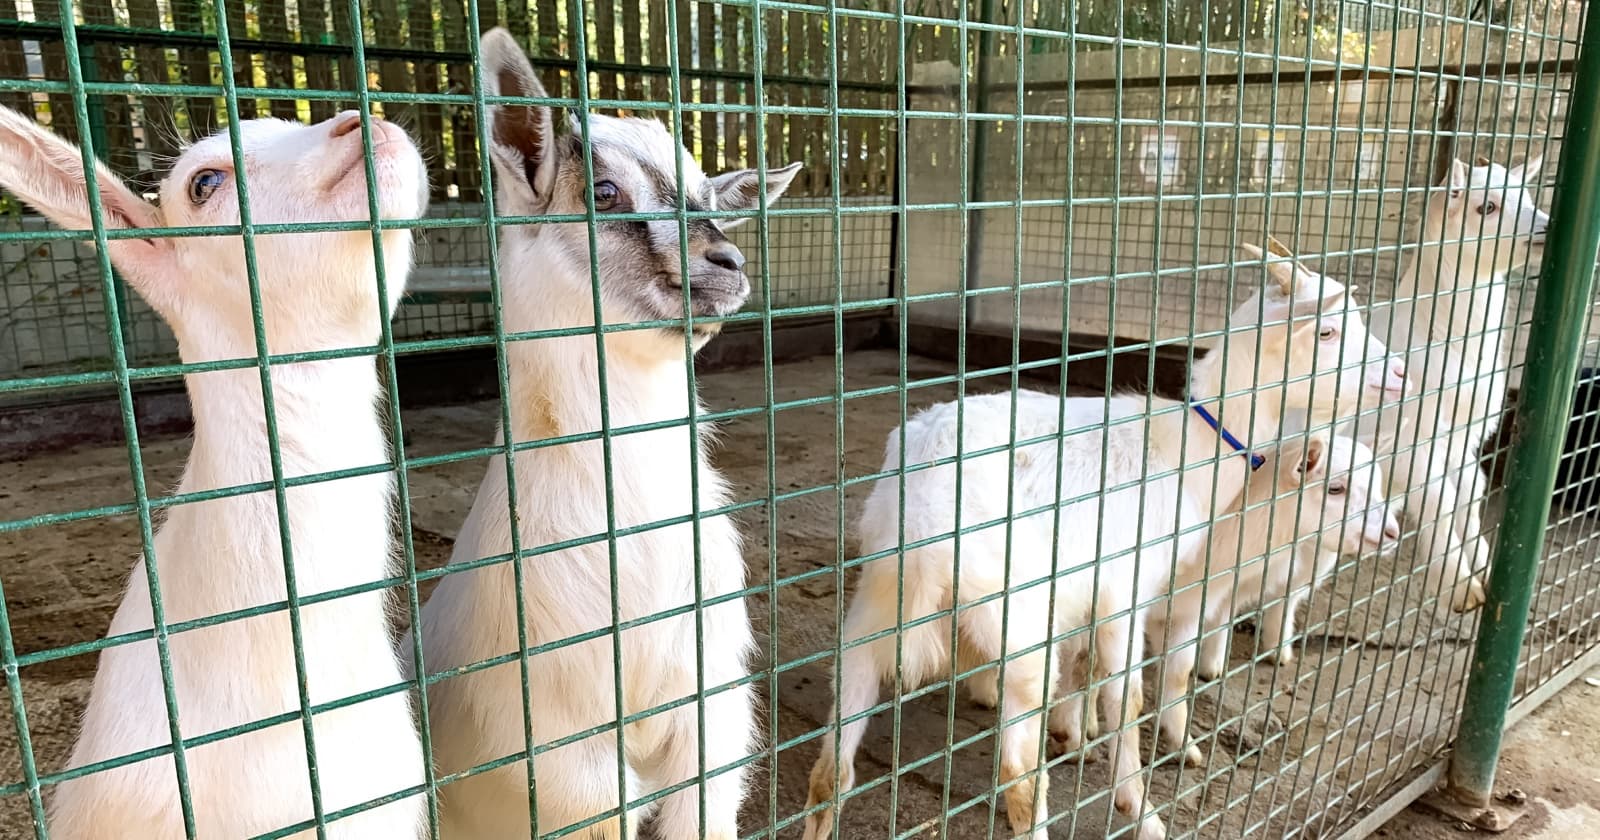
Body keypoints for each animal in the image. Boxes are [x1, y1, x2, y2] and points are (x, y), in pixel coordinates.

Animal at [1356, 155, 1542, 608]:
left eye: (1528, 197)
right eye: (1486, 207)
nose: (1543, 227)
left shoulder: (1464, 437)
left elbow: (1470, 493)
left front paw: (1486, 567)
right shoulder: (1412, 437)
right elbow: (1438, 501)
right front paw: (1458, 586)